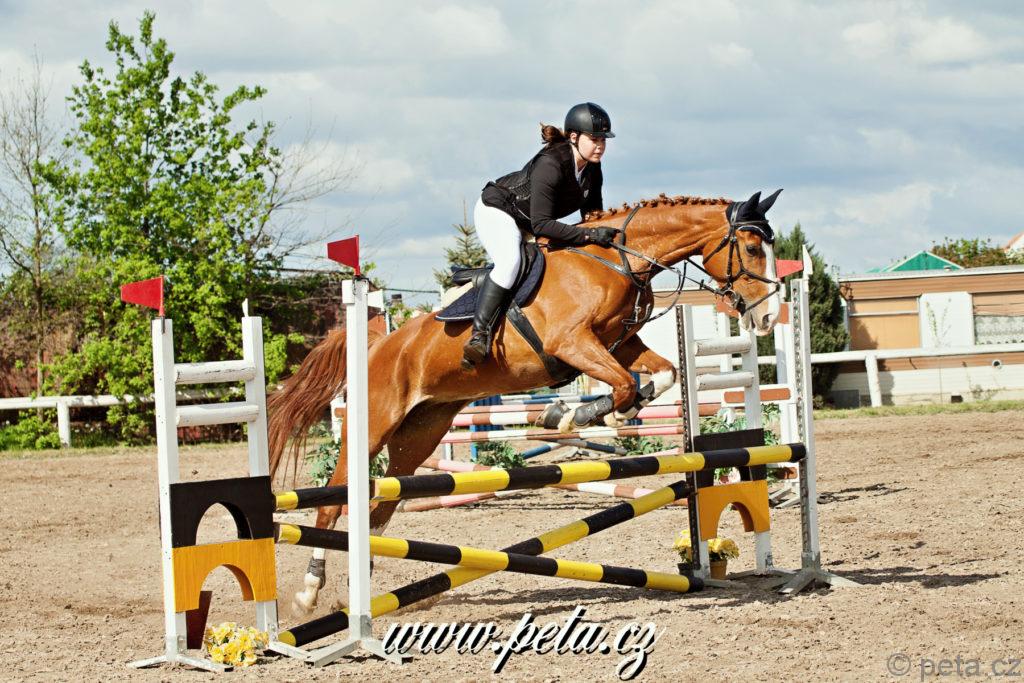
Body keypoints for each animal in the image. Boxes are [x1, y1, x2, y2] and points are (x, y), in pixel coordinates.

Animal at [267, 189, 784, 615]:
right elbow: (621, 385)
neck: (615, 261)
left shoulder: (620, 344)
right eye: (751, 249)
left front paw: (594, 414)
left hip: (419, 436)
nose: (766, 318)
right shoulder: (574, 343)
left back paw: (363, 589)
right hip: (373, 426)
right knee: (335, 500)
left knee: (380, 507)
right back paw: (310, 592)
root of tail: (378, 344)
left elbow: (661, 376)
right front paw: (572, 415)